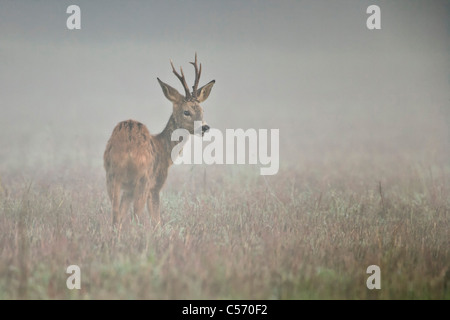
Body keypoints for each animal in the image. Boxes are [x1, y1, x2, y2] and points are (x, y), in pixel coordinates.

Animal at [103, 53, 214, 228]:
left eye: (202, 110)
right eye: (186, 112)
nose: (205, 127)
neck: (164, 150)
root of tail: (128, 149)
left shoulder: (127, 189)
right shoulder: (156, 184)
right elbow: (156, 220)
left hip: (113, 176)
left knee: (115, 214)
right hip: (144, 178)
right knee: (136, 213)